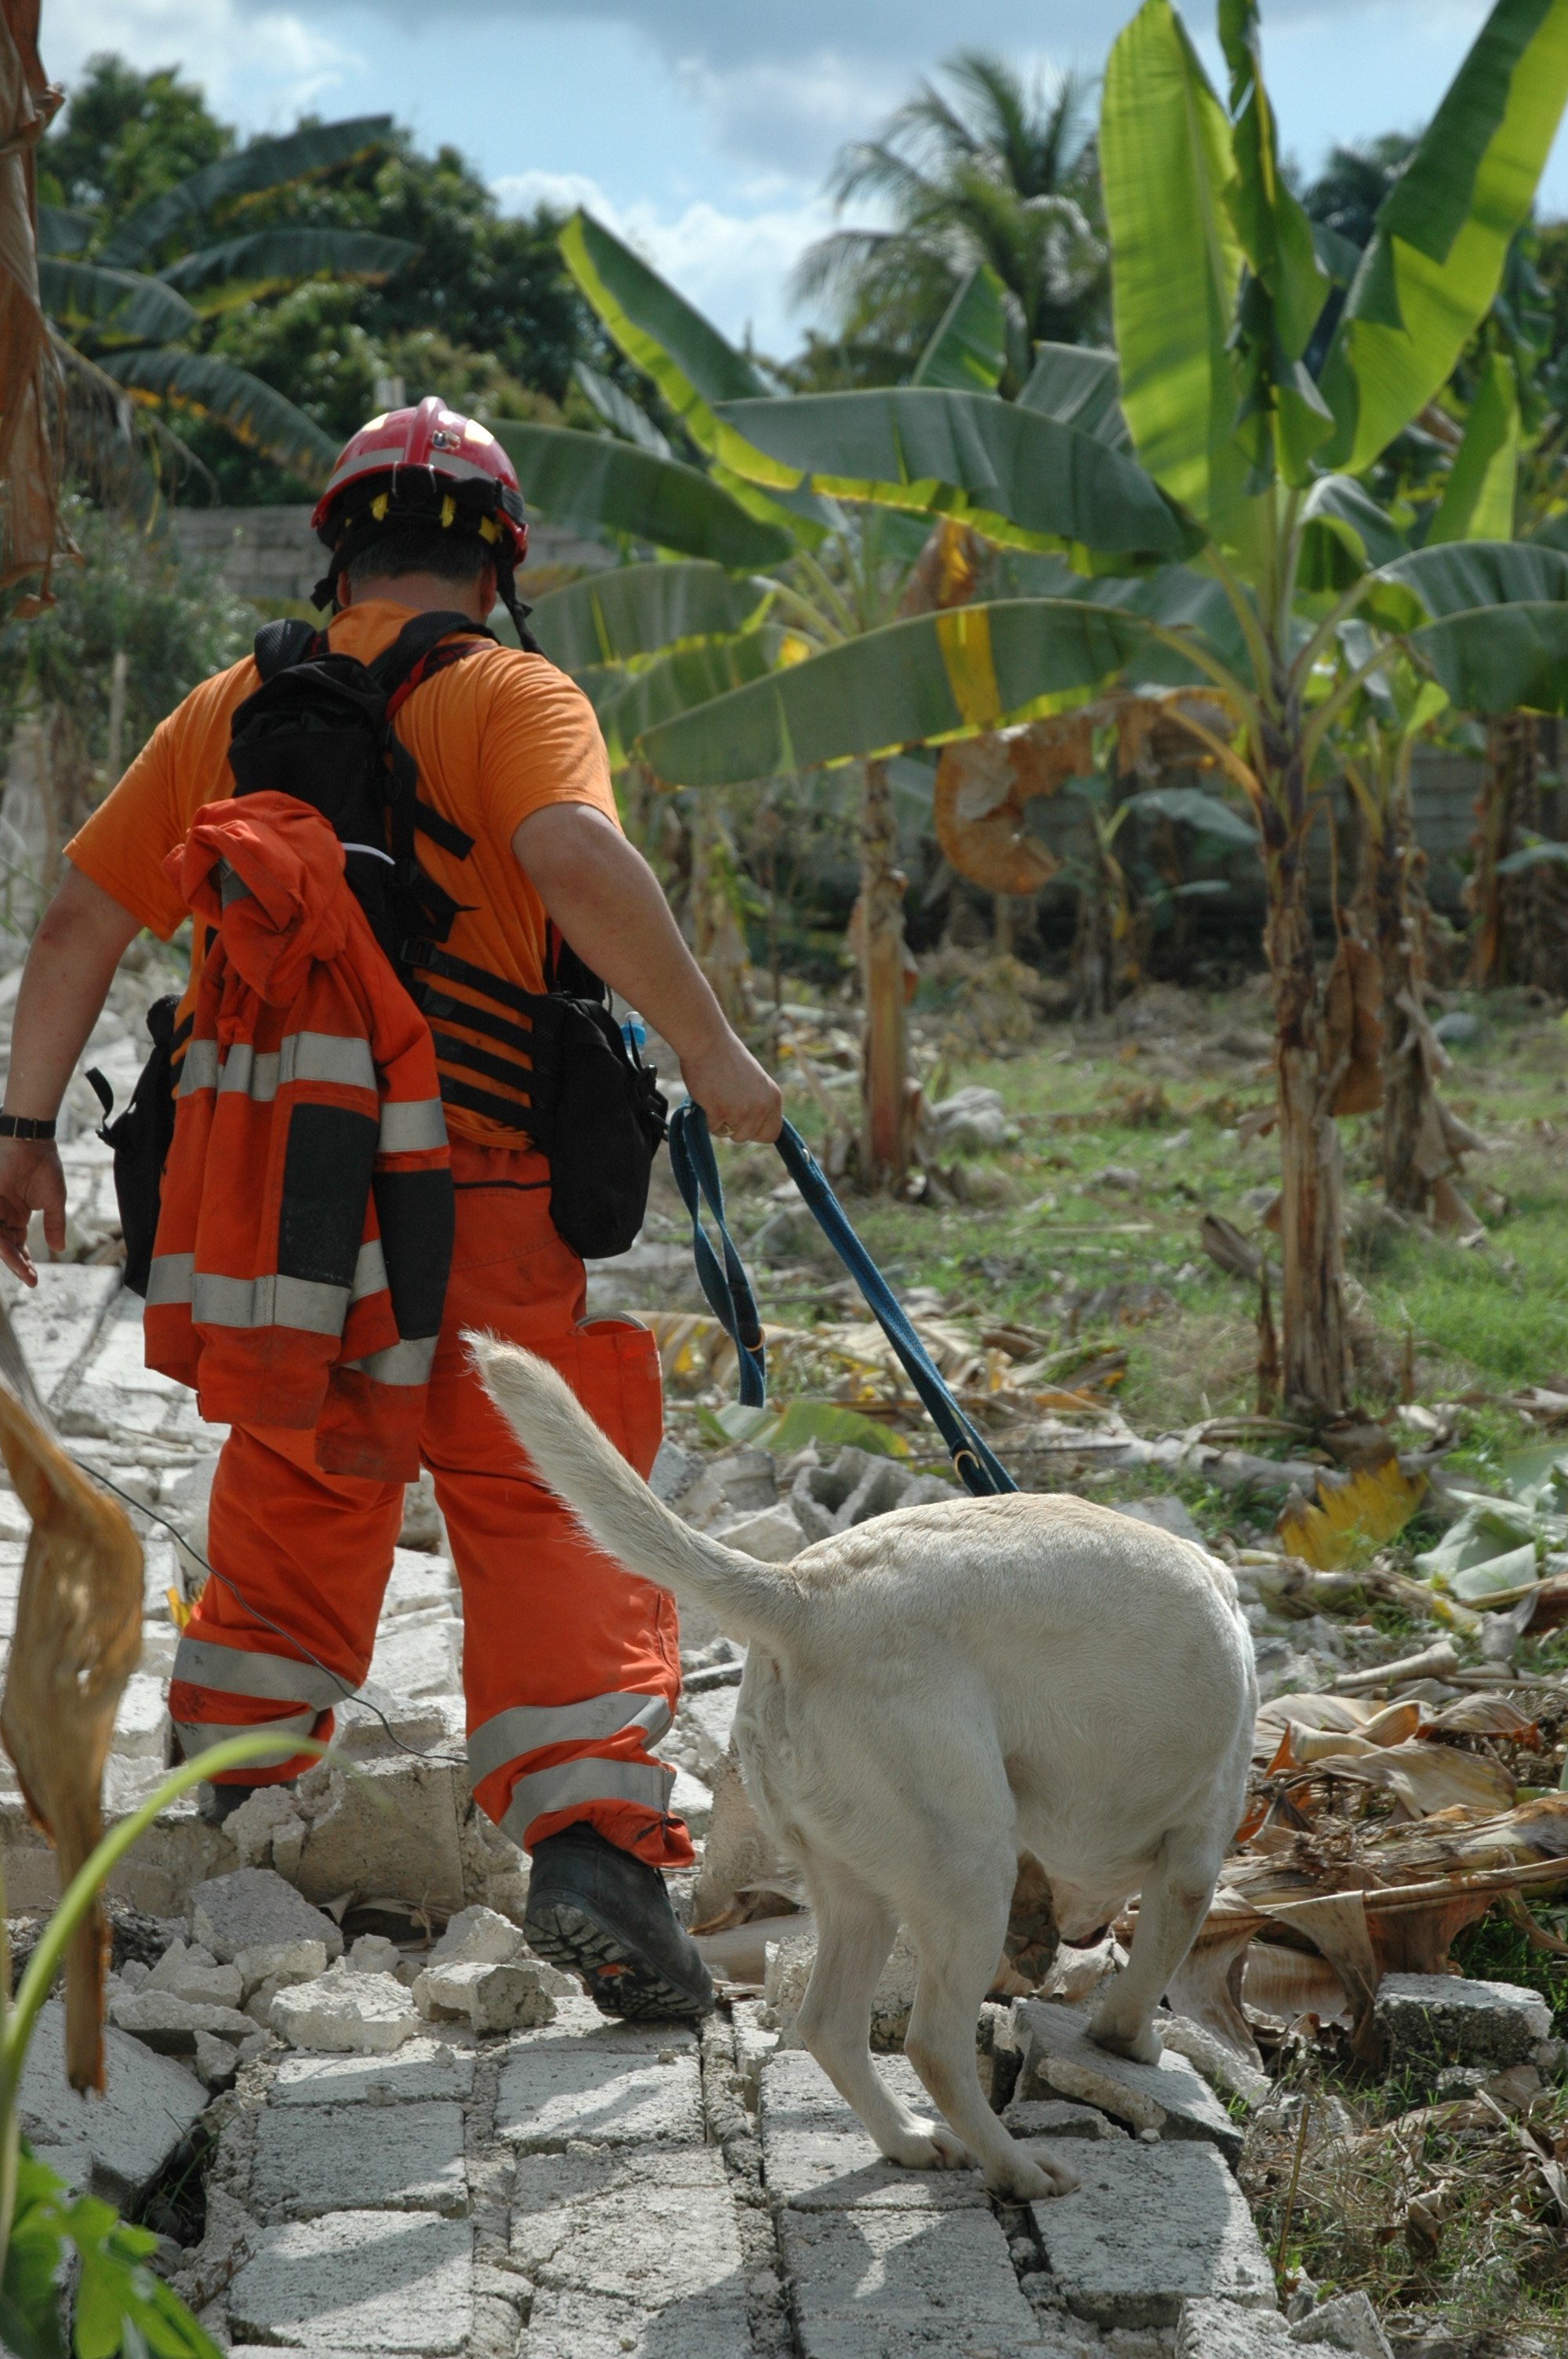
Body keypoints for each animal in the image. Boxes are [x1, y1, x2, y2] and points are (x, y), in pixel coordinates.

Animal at [471, 1339, 1254, 2198]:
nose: (1081, 1932)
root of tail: (800, 1595)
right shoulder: (1194, 1861)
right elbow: (1148, 1973)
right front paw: (1132, 2039)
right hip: (968, 1872)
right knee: (932, 2045)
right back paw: (1014, 2165)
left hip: (858, 1886)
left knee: (828, 2026)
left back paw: (909, 2140)